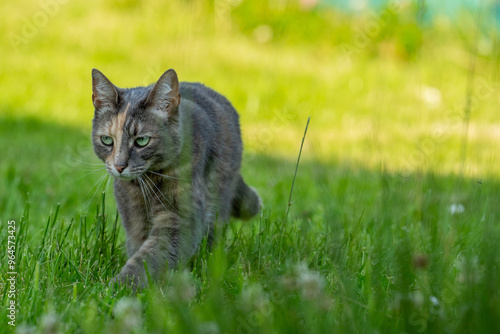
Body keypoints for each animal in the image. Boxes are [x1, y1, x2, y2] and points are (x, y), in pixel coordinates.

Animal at [91, 68, 262, 290]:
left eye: (142, 141)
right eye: (107, 140)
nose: (120, 166)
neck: (146, 184)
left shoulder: (179, 217)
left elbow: (151, 256)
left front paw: (123, 286)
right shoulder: (133, 216)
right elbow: (139, 246)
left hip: (218, 201)